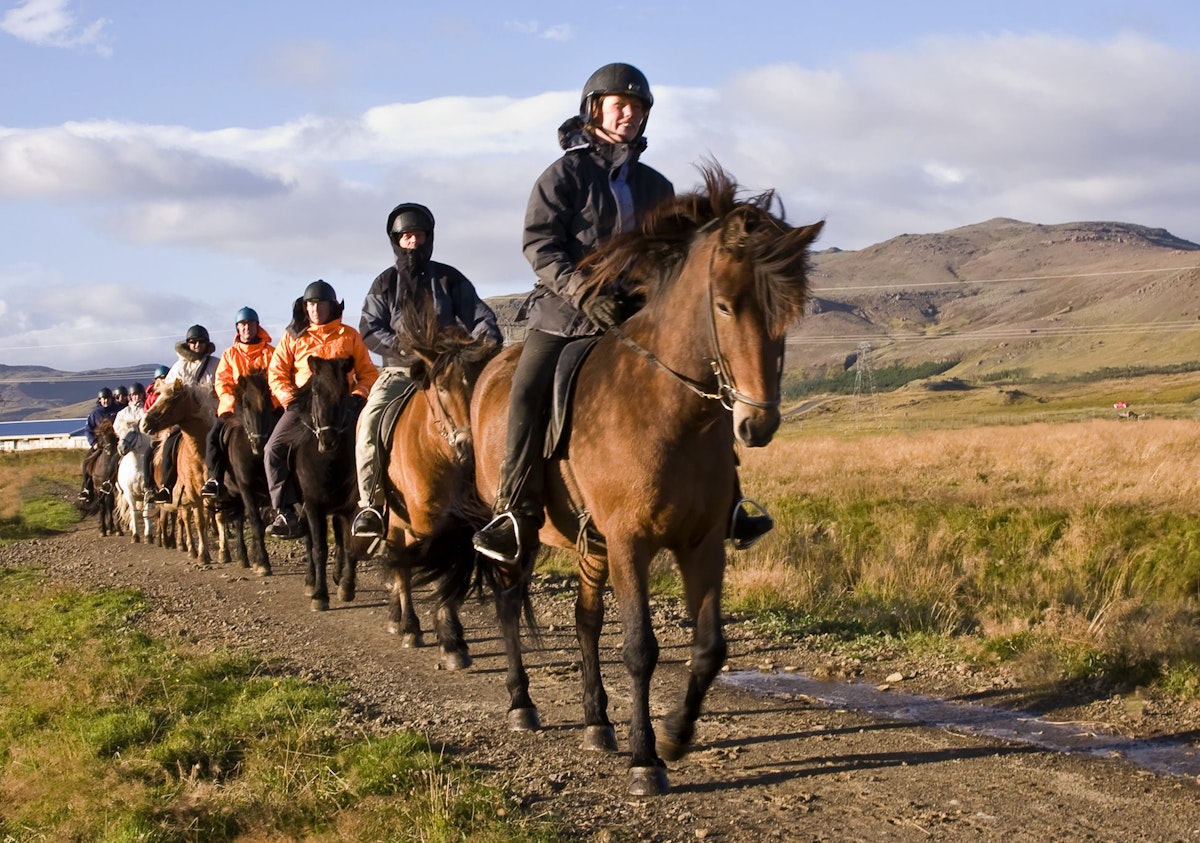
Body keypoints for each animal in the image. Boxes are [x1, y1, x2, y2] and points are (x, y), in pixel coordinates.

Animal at [141, 384, 214, 566]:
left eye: (169, 400)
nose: (144, 424)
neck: (199, 452)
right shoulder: (194, 494)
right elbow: (200, 522)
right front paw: (203, 555)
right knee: (170, 519)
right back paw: (170, 543)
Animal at [213, 377, 276, 581]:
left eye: (268, 402)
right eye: (246, 405)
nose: (260, 442)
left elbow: (261, 522)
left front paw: (258, 558)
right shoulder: (245, 487)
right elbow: (255, 521)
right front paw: (262, 562)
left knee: (239, 518)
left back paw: (244, 557)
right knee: (231, 519)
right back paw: (232, 554)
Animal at [379, 307, 501, 672]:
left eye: (482, 383)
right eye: (443, 388)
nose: (468, 445)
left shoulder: (466, 526)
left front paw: (452, 638)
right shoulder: (427, 522)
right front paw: (447, 640)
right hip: (396, 522)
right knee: (400, 565)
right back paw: (408, 625)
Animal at [472, 162, 820, 797]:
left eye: (788, 313)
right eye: (725, 307)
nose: (757, 423)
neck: (669, 411)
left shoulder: (702, 544)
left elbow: (709, 649)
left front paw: (678, 735)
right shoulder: (630, 542)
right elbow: (639, 649)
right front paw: (645, 760)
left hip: (592, 543)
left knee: (585, 622)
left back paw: (595, 722)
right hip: (522, 532)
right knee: (510, 605)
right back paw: (522, 705)